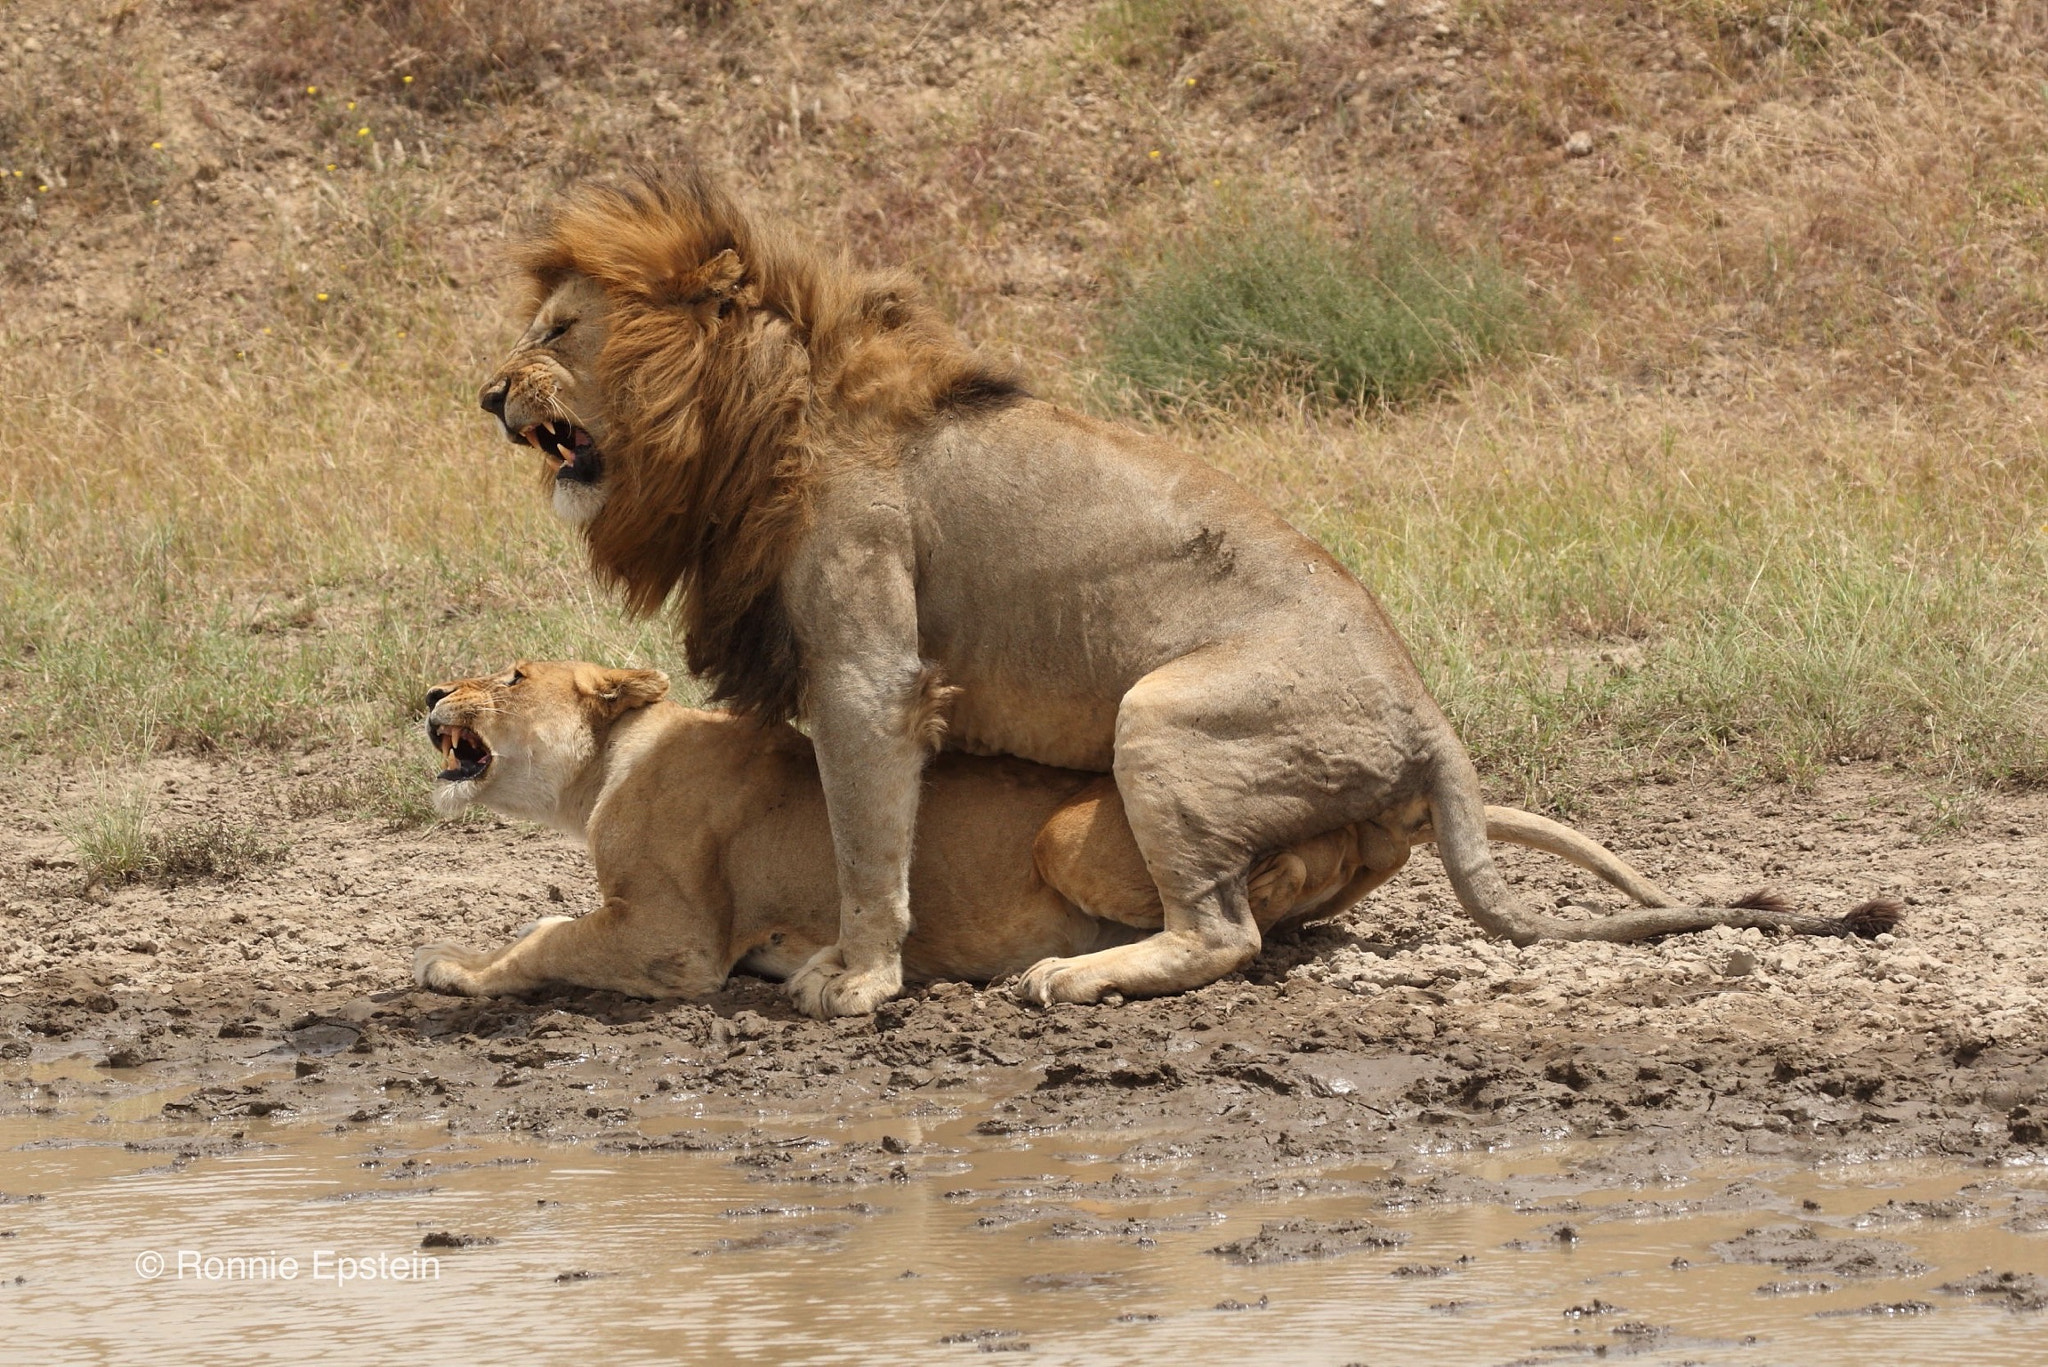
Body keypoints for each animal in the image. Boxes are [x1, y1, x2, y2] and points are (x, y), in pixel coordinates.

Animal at [471, 171, 1892, 1016]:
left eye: (557, 332)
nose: (487, 395)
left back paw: (1072, 973)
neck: (751, 421)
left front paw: (855, 977)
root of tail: (1430, 720)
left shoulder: (870, 667)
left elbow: (865, 838)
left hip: (1162, 714)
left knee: (1222, 935)